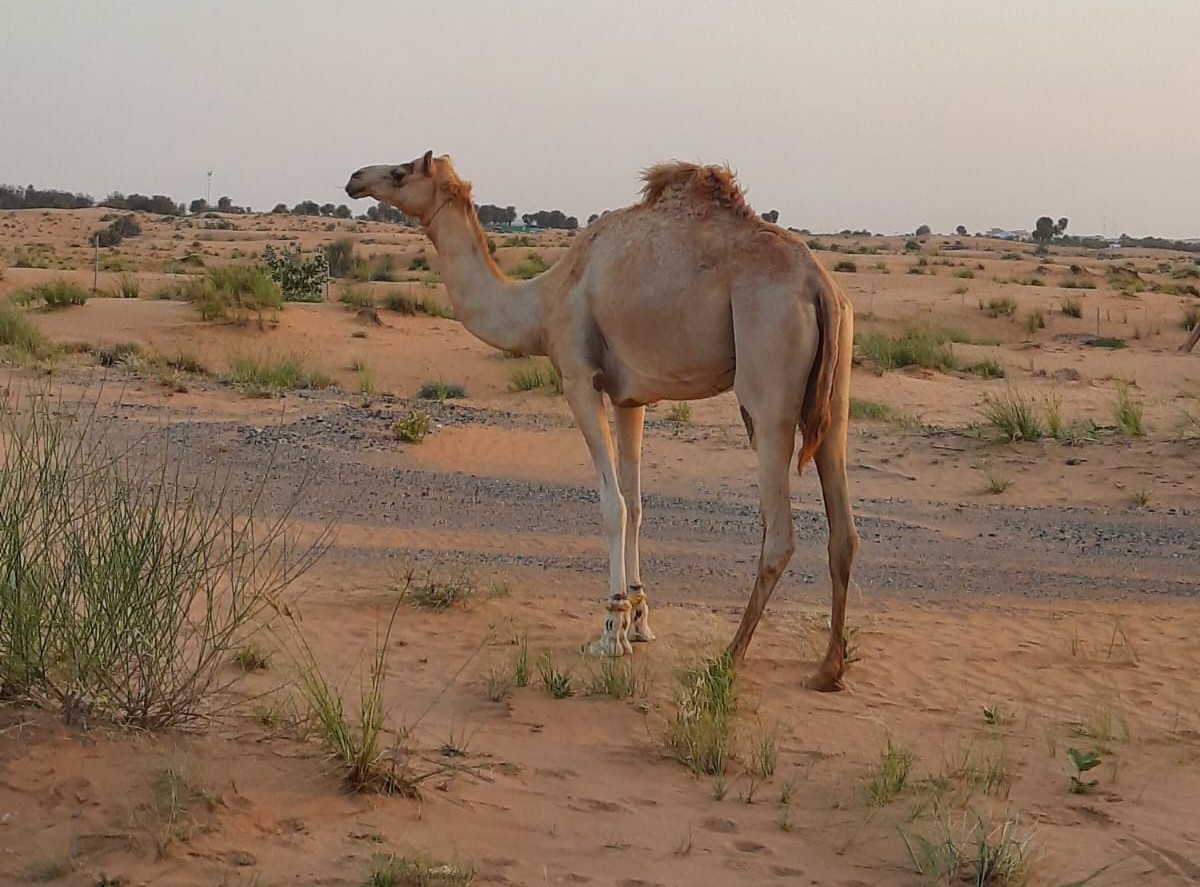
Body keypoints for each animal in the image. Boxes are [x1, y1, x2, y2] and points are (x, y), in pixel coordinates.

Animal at [345, 151, 860, 690]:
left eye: (401, 171)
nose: (355, 179)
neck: (544, 301)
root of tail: (819, 285)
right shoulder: (630, 397)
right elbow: (636, 504)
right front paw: (639, 619)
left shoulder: (579, 378)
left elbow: (612, 506)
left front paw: (611, 630)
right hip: (836, 387)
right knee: (843, 529)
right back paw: (828, 669)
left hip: (769, 383)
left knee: (779, 534)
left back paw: (728, 657)